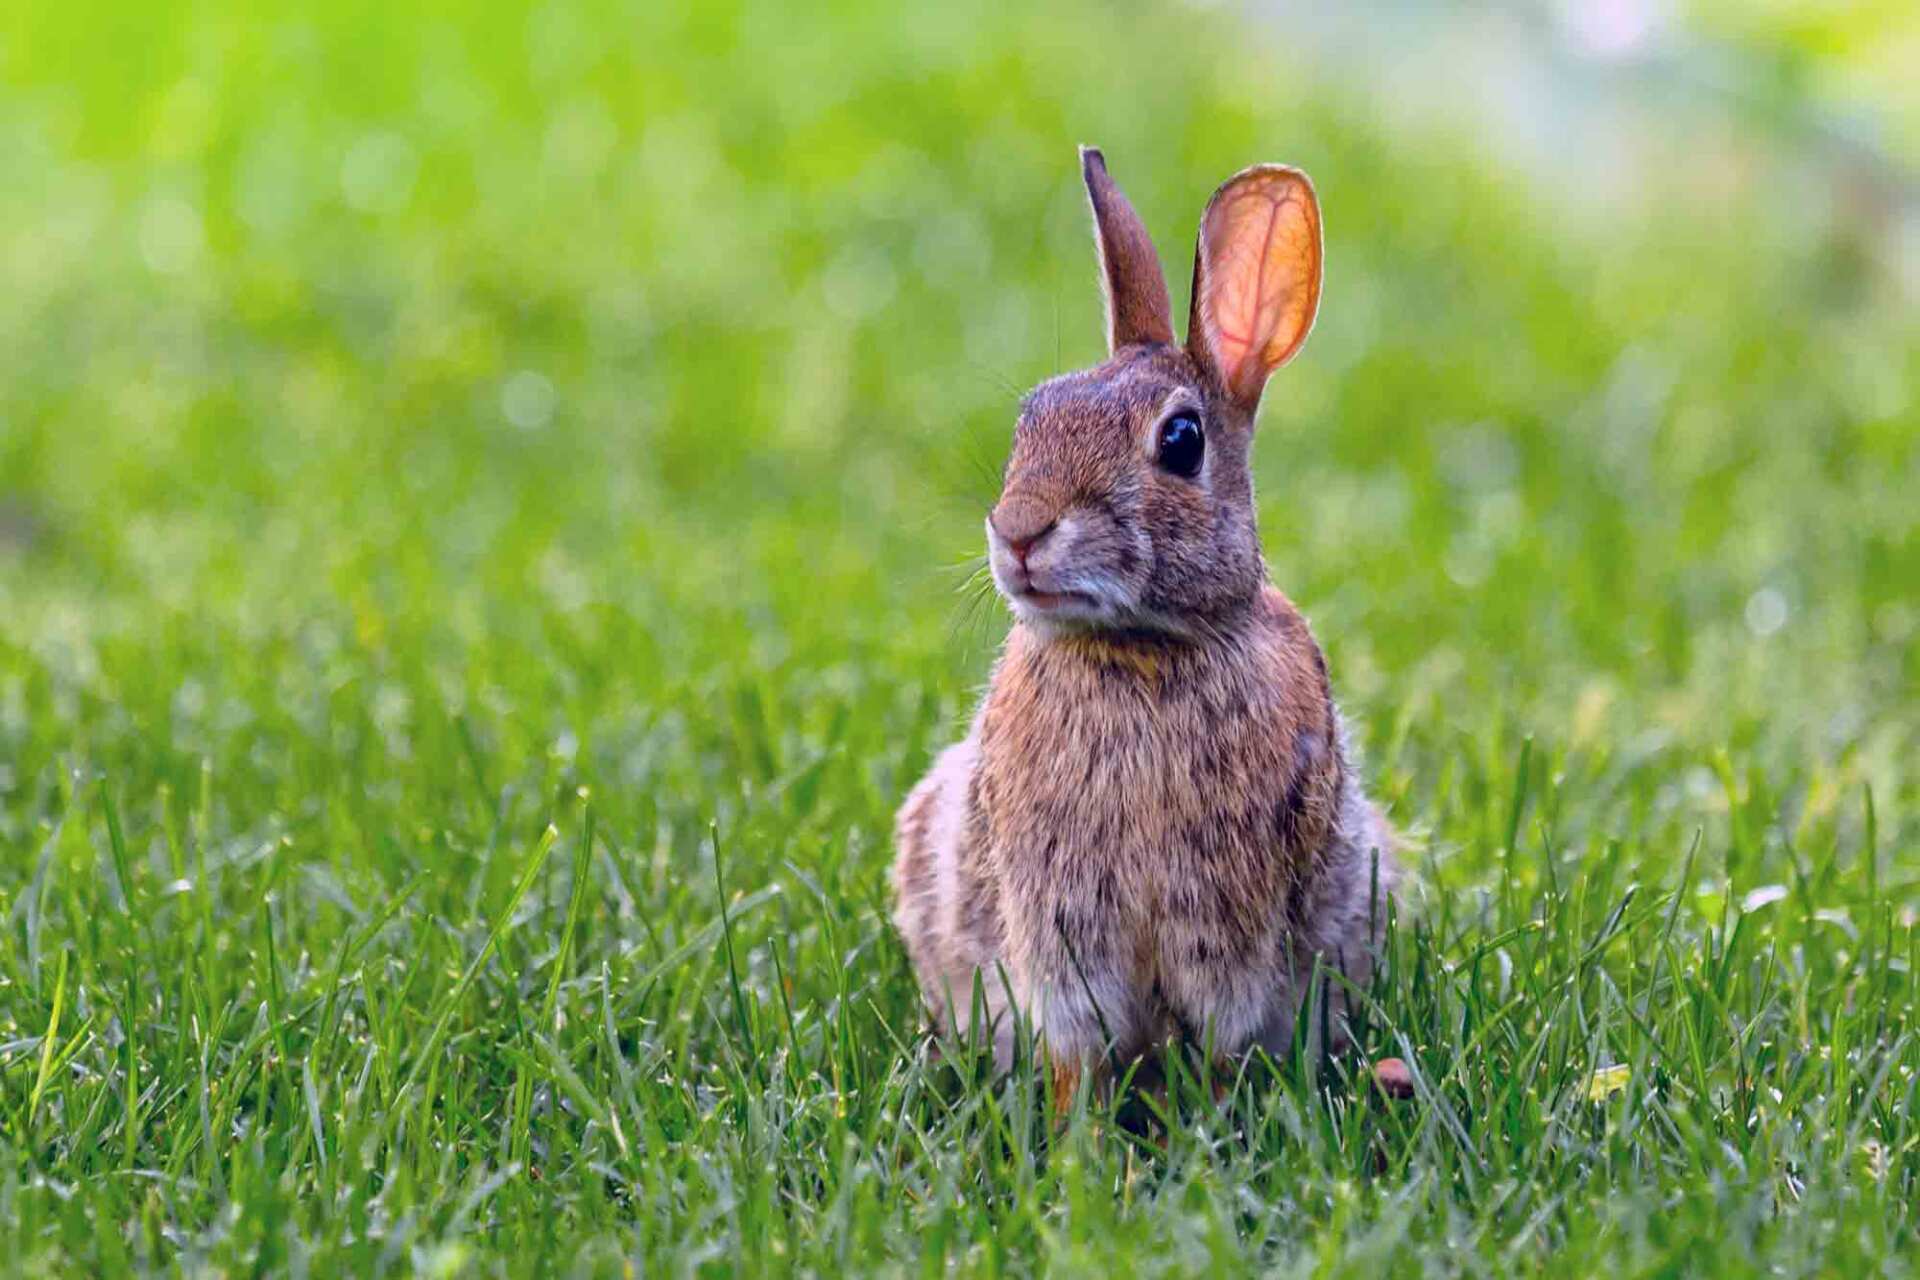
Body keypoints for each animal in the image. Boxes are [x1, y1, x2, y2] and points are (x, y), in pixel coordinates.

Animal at [892, 147, 1398, 1110]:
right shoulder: (1057, 935)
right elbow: (1075, 1058)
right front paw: (1078, 1143)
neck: (1140, 649)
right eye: (1031, 417)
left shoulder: (1231, 935)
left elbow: (1225, 1045)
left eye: (1181, 440)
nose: (1019, 531)